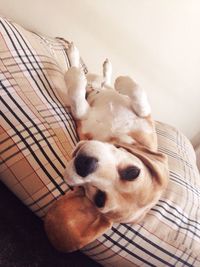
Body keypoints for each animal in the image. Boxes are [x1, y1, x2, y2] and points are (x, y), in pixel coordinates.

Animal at [44, 42, 169, 253]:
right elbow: (140, 97)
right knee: (106, 84)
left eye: (100, 199)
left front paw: (75, 75)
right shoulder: (144, 120)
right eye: (133, 172)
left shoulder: (82, 115)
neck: (113, 134)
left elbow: (78, 102)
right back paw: (100, 70)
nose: (84, 164)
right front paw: (122, 81)